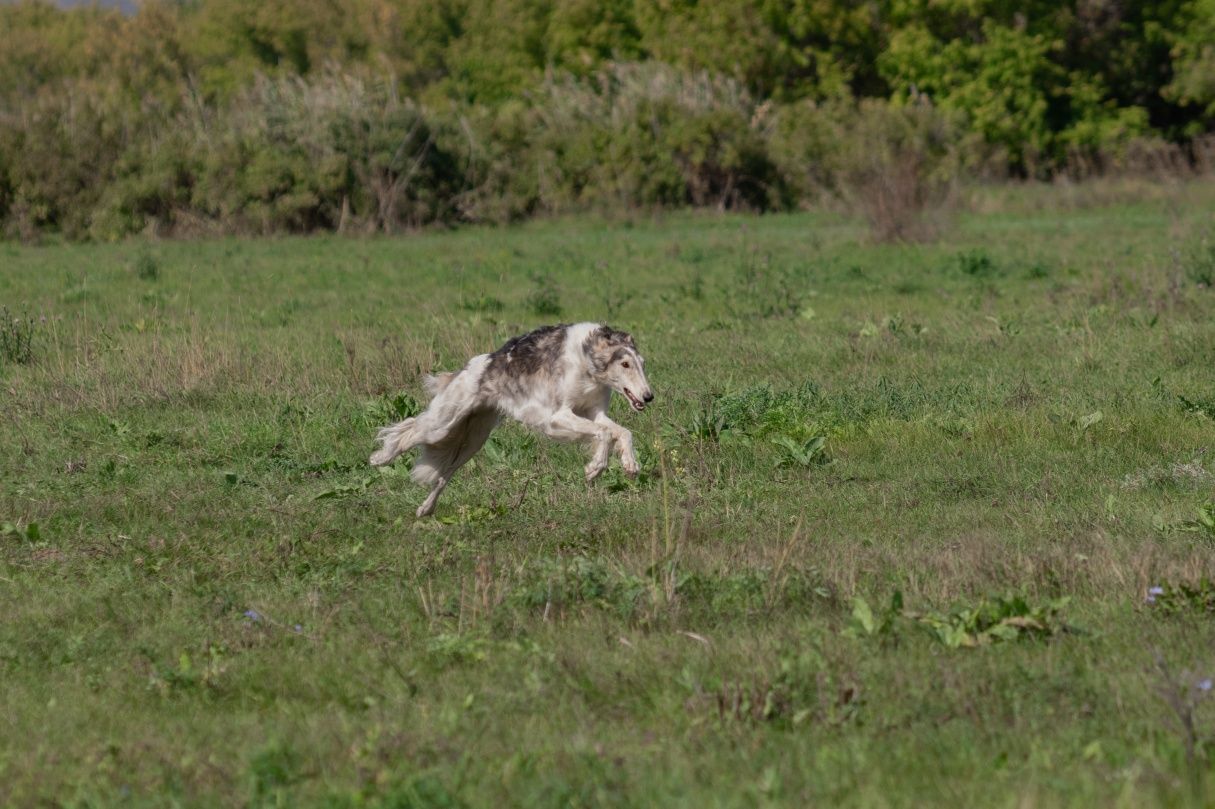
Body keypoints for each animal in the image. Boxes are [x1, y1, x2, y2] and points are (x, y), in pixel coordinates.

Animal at [369, 320, 656, 517]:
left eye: (642, 363)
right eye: (625, 364)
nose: (649, 396)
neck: (587, 359)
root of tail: (470, 367)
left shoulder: (594, 413)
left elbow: (621, 432)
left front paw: (630, 464)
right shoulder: (557, 417)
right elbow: (604, 434)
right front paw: (595, 468)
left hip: (472, 441)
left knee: (442, 476)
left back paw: (425, 509)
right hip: (442, 424)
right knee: (407, 429)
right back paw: (380, 457)